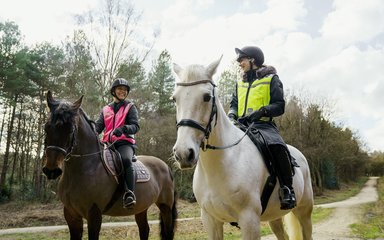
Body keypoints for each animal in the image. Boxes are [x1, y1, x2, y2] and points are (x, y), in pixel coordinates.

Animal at [42, 91, 177, 239]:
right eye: (46, 127)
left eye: (70, 130)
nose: (51, 170)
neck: (84, 169)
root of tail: (166, 166)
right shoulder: (71, 215)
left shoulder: (94, 214)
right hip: (141, 207)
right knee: (144, 229)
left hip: (165, 206)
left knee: (167, 230)